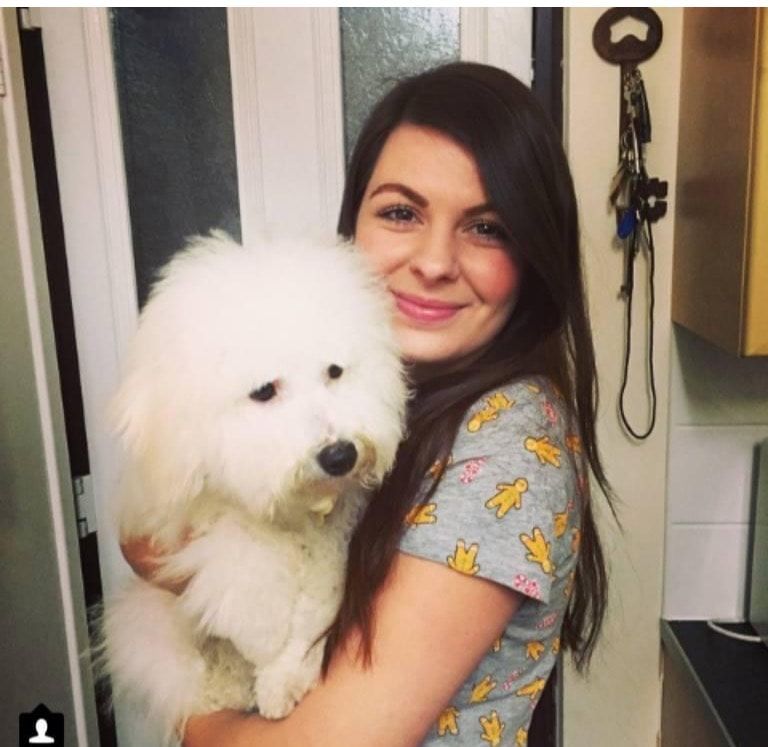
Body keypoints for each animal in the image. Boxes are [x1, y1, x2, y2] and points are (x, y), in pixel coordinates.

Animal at [96, 231, 406, 743]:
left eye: (335, 372)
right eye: (264, 391)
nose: (340, 455)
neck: (287, 513)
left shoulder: (332, 536)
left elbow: (314, 605)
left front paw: (286, 676)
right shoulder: (200, 528)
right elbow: (247, 578)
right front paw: (267, 649)